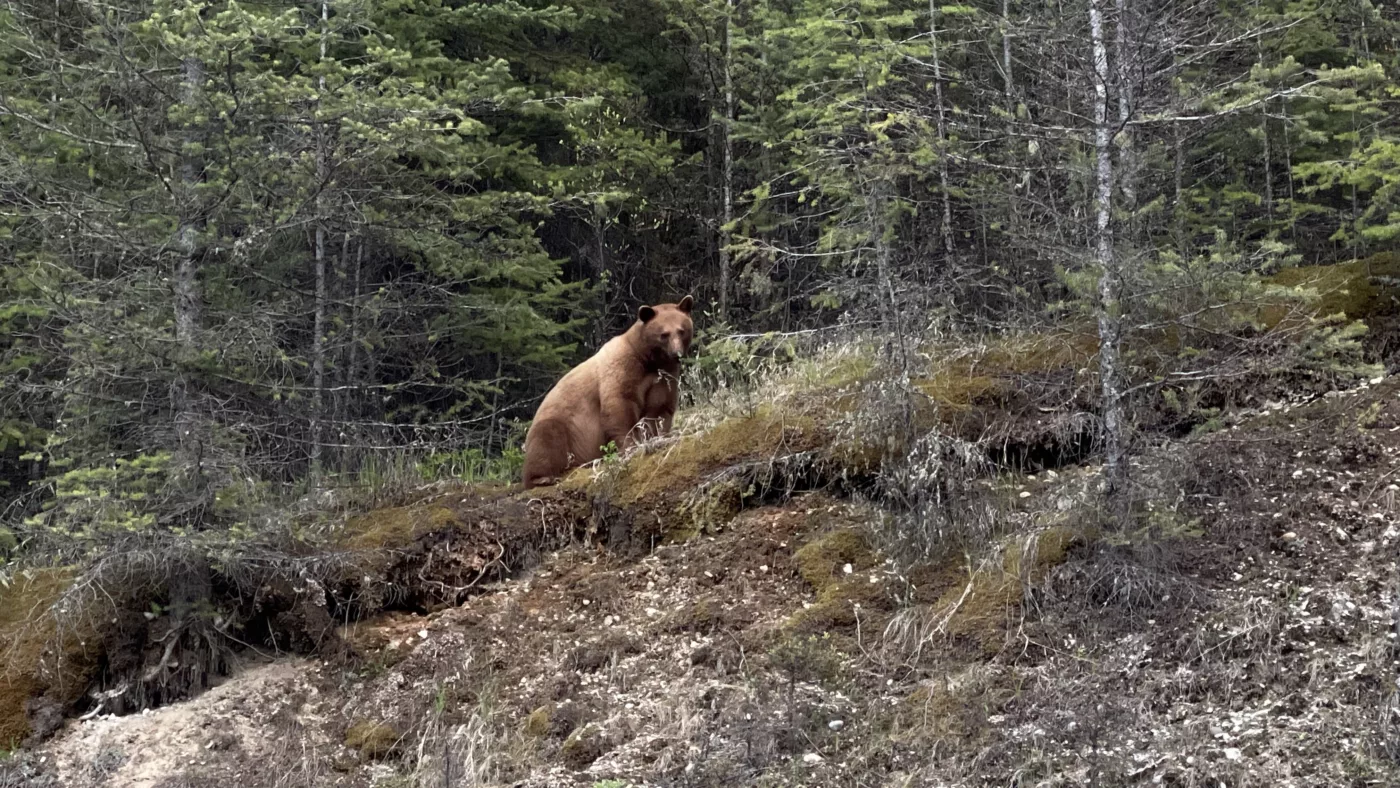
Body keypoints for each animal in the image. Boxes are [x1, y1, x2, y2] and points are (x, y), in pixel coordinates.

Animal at [520, 299, 694, 489]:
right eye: (664, 334)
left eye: (682, 330)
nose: (677, 354)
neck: (648, 359)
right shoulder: (623, 368)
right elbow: (620, 406)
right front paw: (631, 446)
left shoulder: (664, 377)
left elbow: (659, 409)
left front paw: (658, 438)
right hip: (557, 424)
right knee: (546, 442)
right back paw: (543, 478)